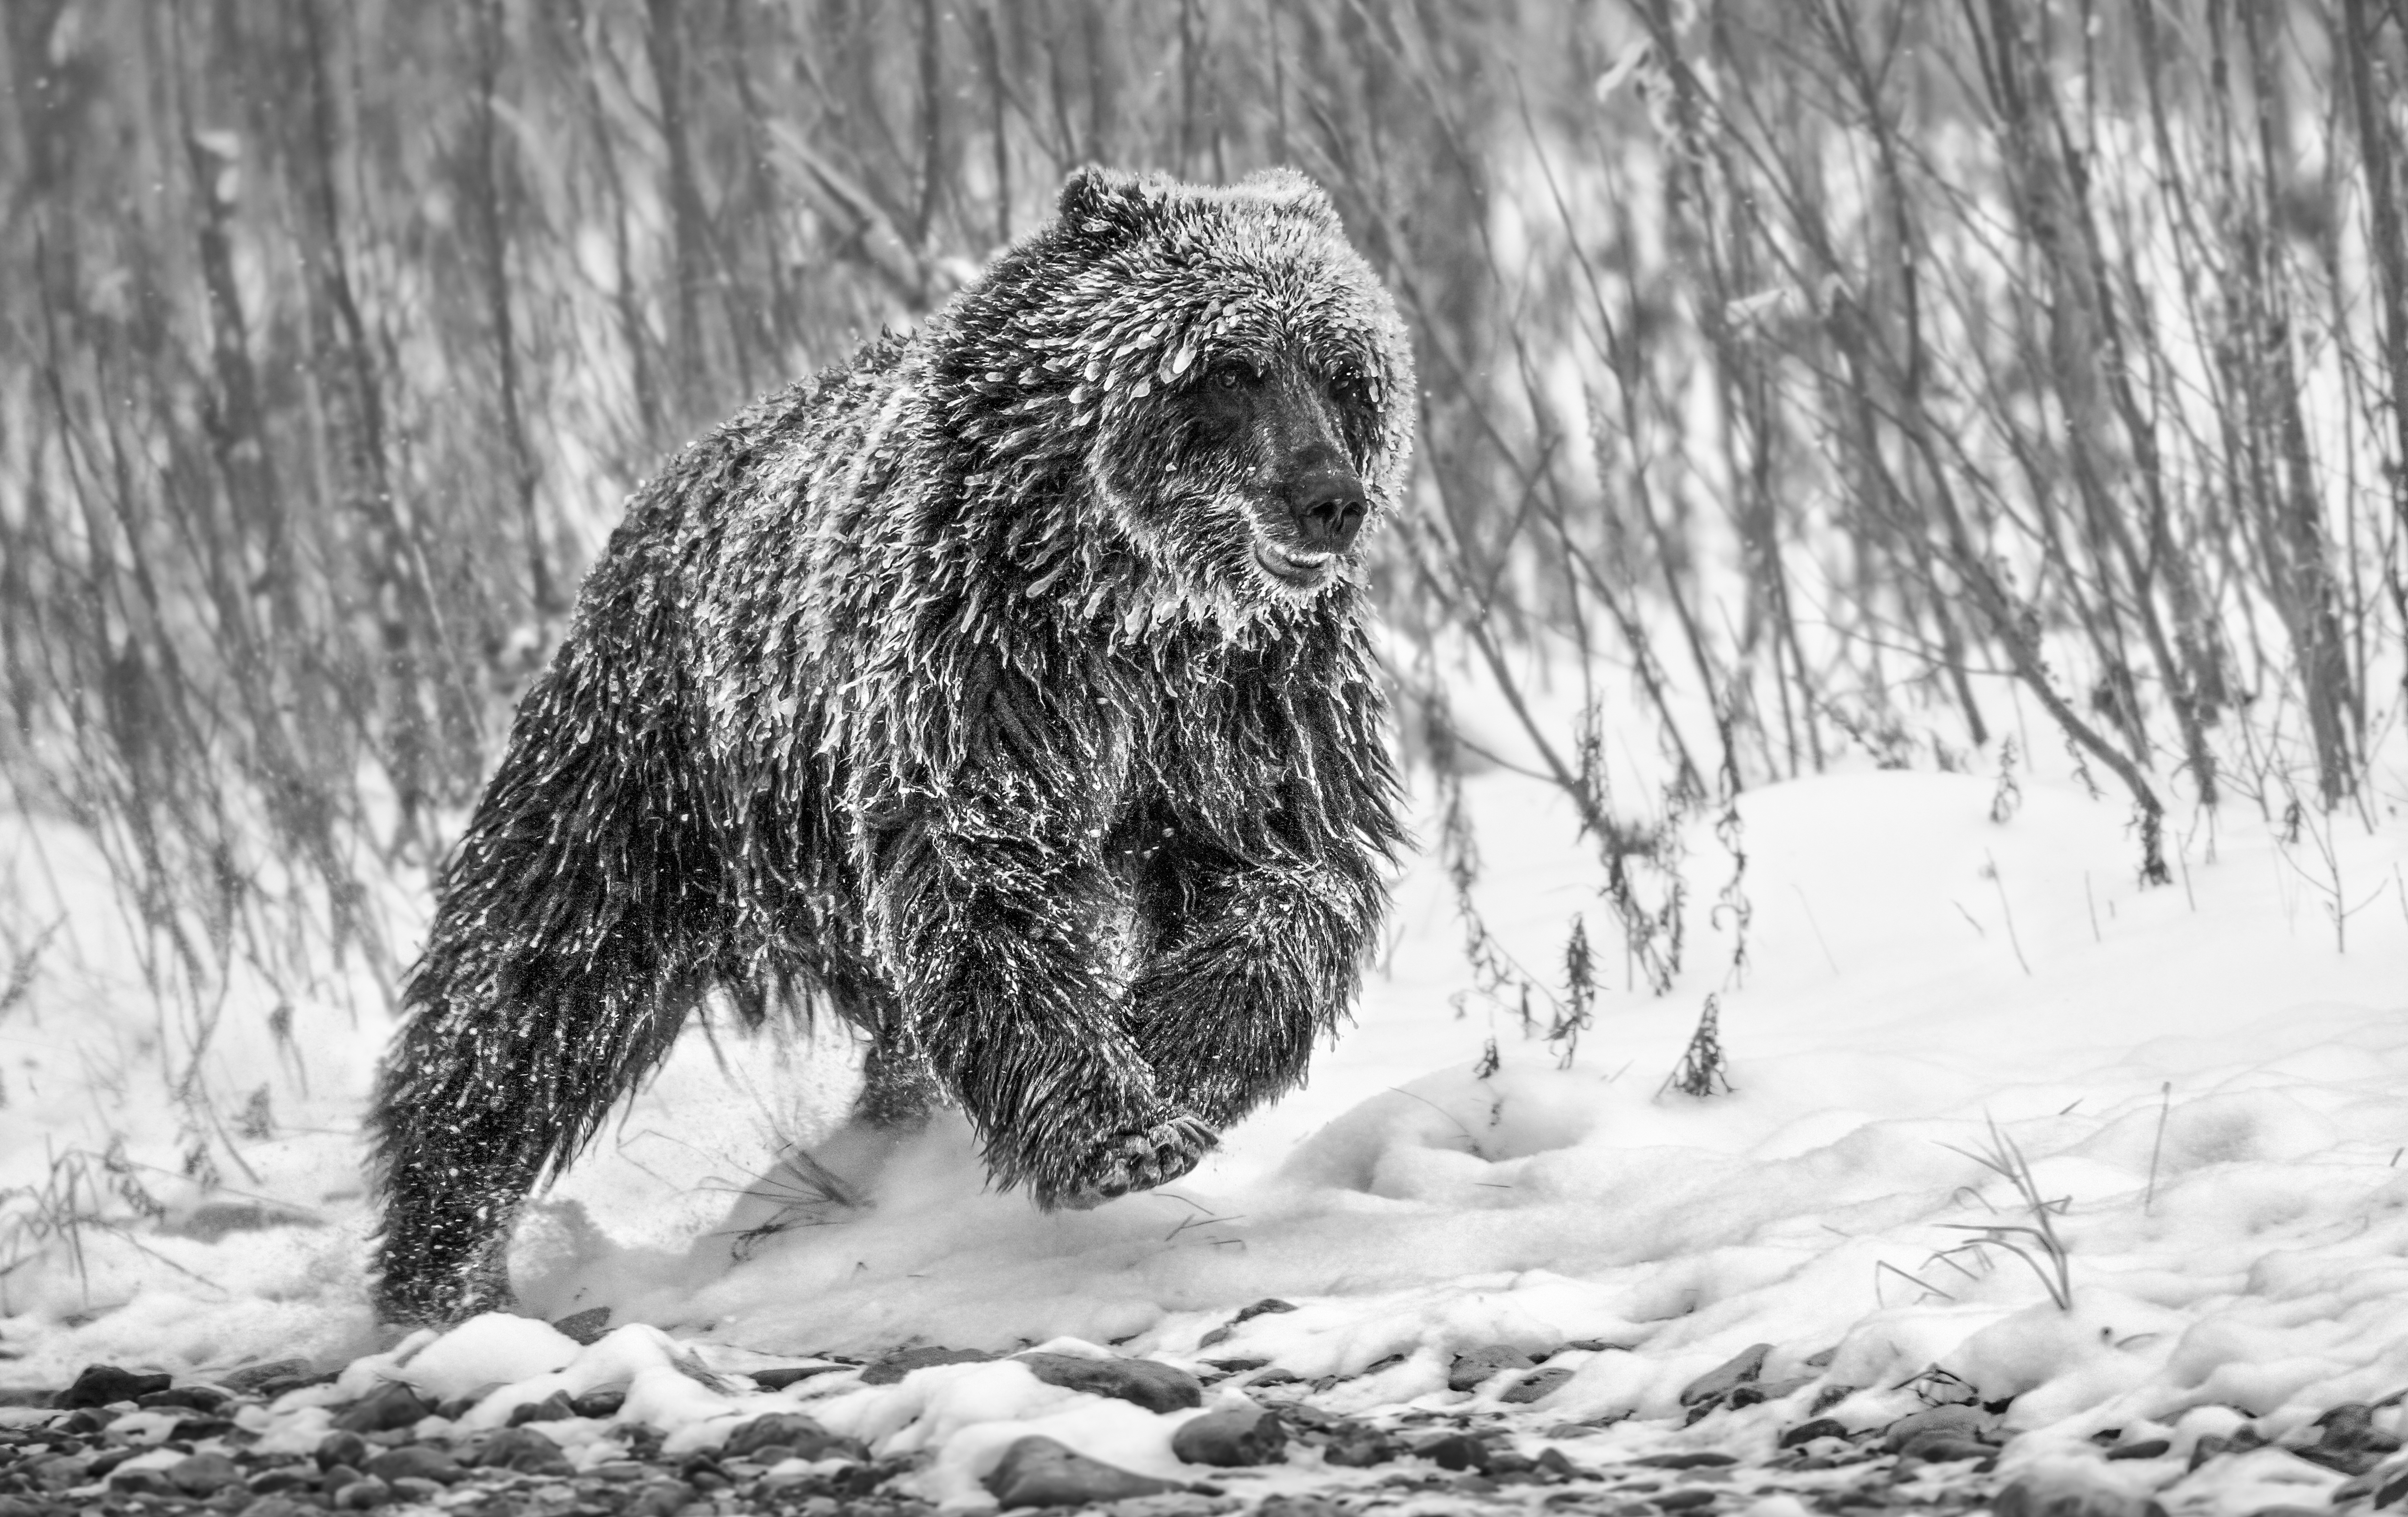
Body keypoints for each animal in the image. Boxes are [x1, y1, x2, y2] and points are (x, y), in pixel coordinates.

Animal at [366, 165, 1416, 1326]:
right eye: (1229, 368)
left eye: (1348, 374)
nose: (1328, 499)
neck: (1136, 602)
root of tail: (658, 492)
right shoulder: (990, 680)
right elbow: (987, 887)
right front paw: (1114, 1130)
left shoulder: (1244, 707)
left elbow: (1289, 878)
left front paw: (1170, 1048)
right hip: (648, 769)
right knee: (531, 984)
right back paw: (442, 1263)